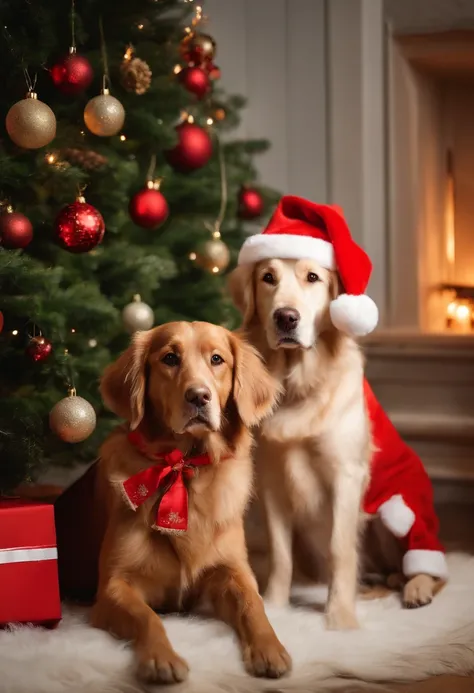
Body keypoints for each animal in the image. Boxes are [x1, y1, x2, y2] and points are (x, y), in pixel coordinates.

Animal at [90, 322, 290, 684]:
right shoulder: (113, 586)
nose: (199, 396)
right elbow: (147, 616)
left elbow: (253, 604)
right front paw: (161, 658)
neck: (186, 467)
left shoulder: (232, 571)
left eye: (217, 359)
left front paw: (270, 648)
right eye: (170, 358)